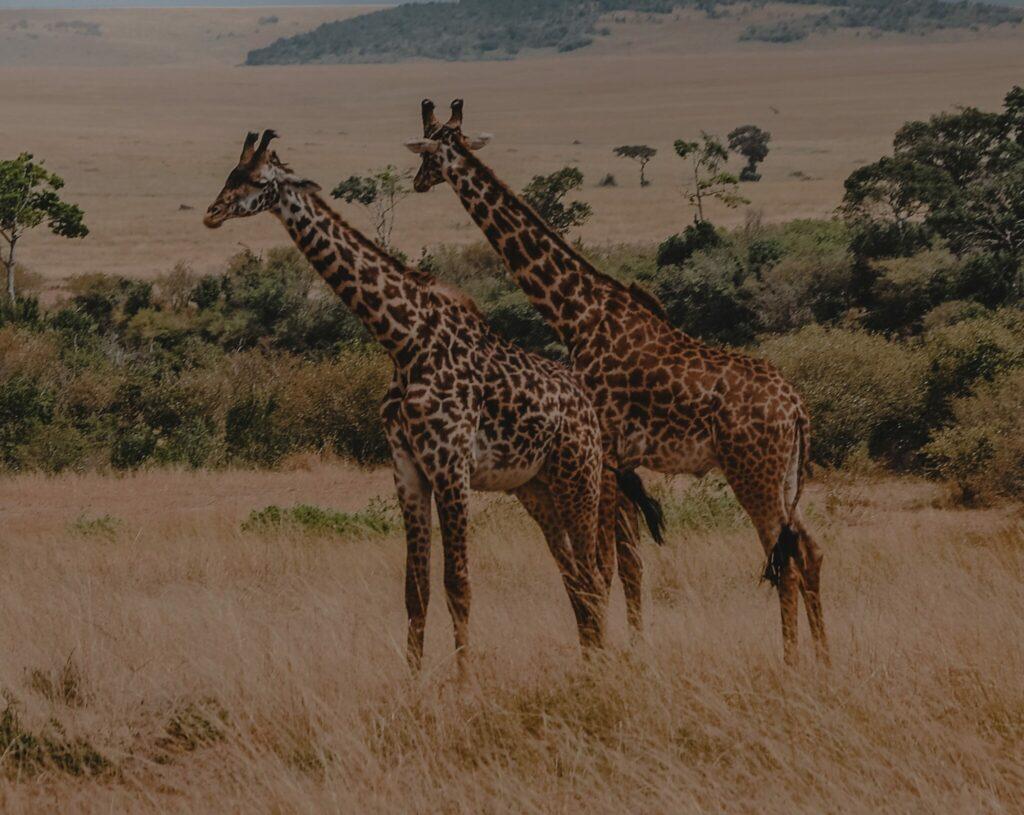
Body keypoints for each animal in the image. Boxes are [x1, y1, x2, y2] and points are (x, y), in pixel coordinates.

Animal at [204, 130, 613, 673]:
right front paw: (414, 679)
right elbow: (414, 590)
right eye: (231, 172)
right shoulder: (408, 470)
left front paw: (463, 681)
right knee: (575, 577)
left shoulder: (451, 466)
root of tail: (588, 408)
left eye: (256, 179)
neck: (403, 340)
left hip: (579, 477)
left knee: (594, 575)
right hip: (536, 488)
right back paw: (590, 665)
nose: (212, 213)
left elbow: (458, 583)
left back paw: (603, 668)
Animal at [406, 101, 828, 666]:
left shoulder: (603, 452)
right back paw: (824, 658)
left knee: (782, 558)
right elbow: (628, 563)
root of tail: (798, 410)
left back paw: (790, 661)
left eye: (429, 151)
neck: (576, 311)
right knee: (809, 549)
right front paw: (633, 648)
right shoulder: (622, 461)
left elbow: (604, 567)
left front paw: (607, 654)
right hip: (783, 476)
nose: (416, 183)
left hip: (753, 473)